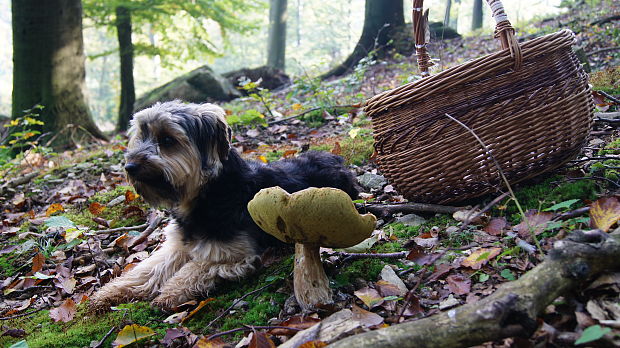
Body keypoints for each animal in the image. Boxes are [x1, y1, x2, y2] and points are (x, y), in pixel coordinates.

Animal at [88, 101, 358, 312]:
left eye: (167, 140)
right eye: (141, 136)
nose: (130, 167)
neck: (206, 195)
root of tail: (335, 158)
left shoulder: (235, 254)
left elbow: (195, 268)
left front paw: (169, 293)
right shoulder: (176, 245)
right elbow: (147, 269)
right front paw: (109, 292)